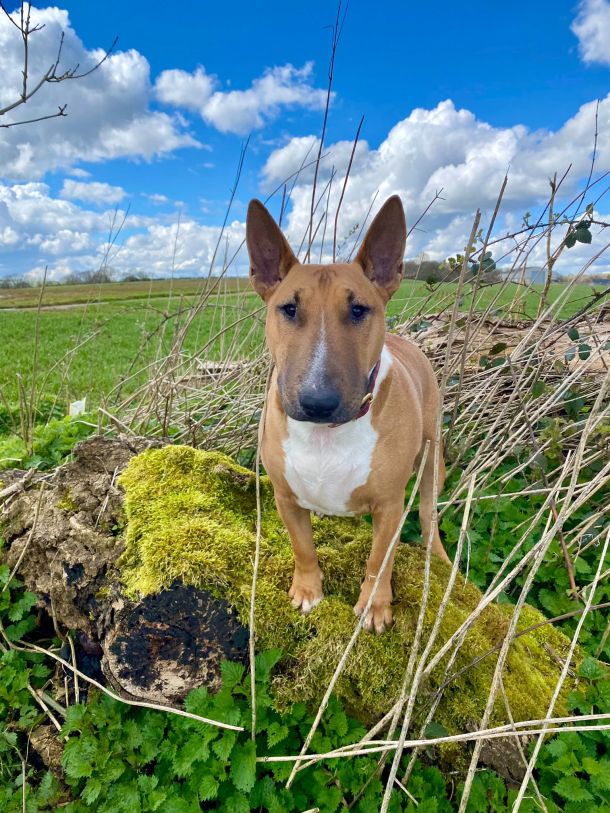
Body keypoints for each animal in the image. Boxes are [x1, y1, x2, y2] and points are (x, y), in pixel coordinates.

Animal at [246, 195, 449, 633]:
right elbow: (303, 547)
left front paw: (374, 607)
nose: (317, 402)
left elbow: (379, 560)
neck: (327, 432)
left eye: (358, 309)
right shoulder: (284, 496)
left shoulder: (390, 505)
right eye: (288, 308)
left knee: (429, 514)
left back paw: (439, 557)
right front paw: (307, 591)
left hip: (432, 458)